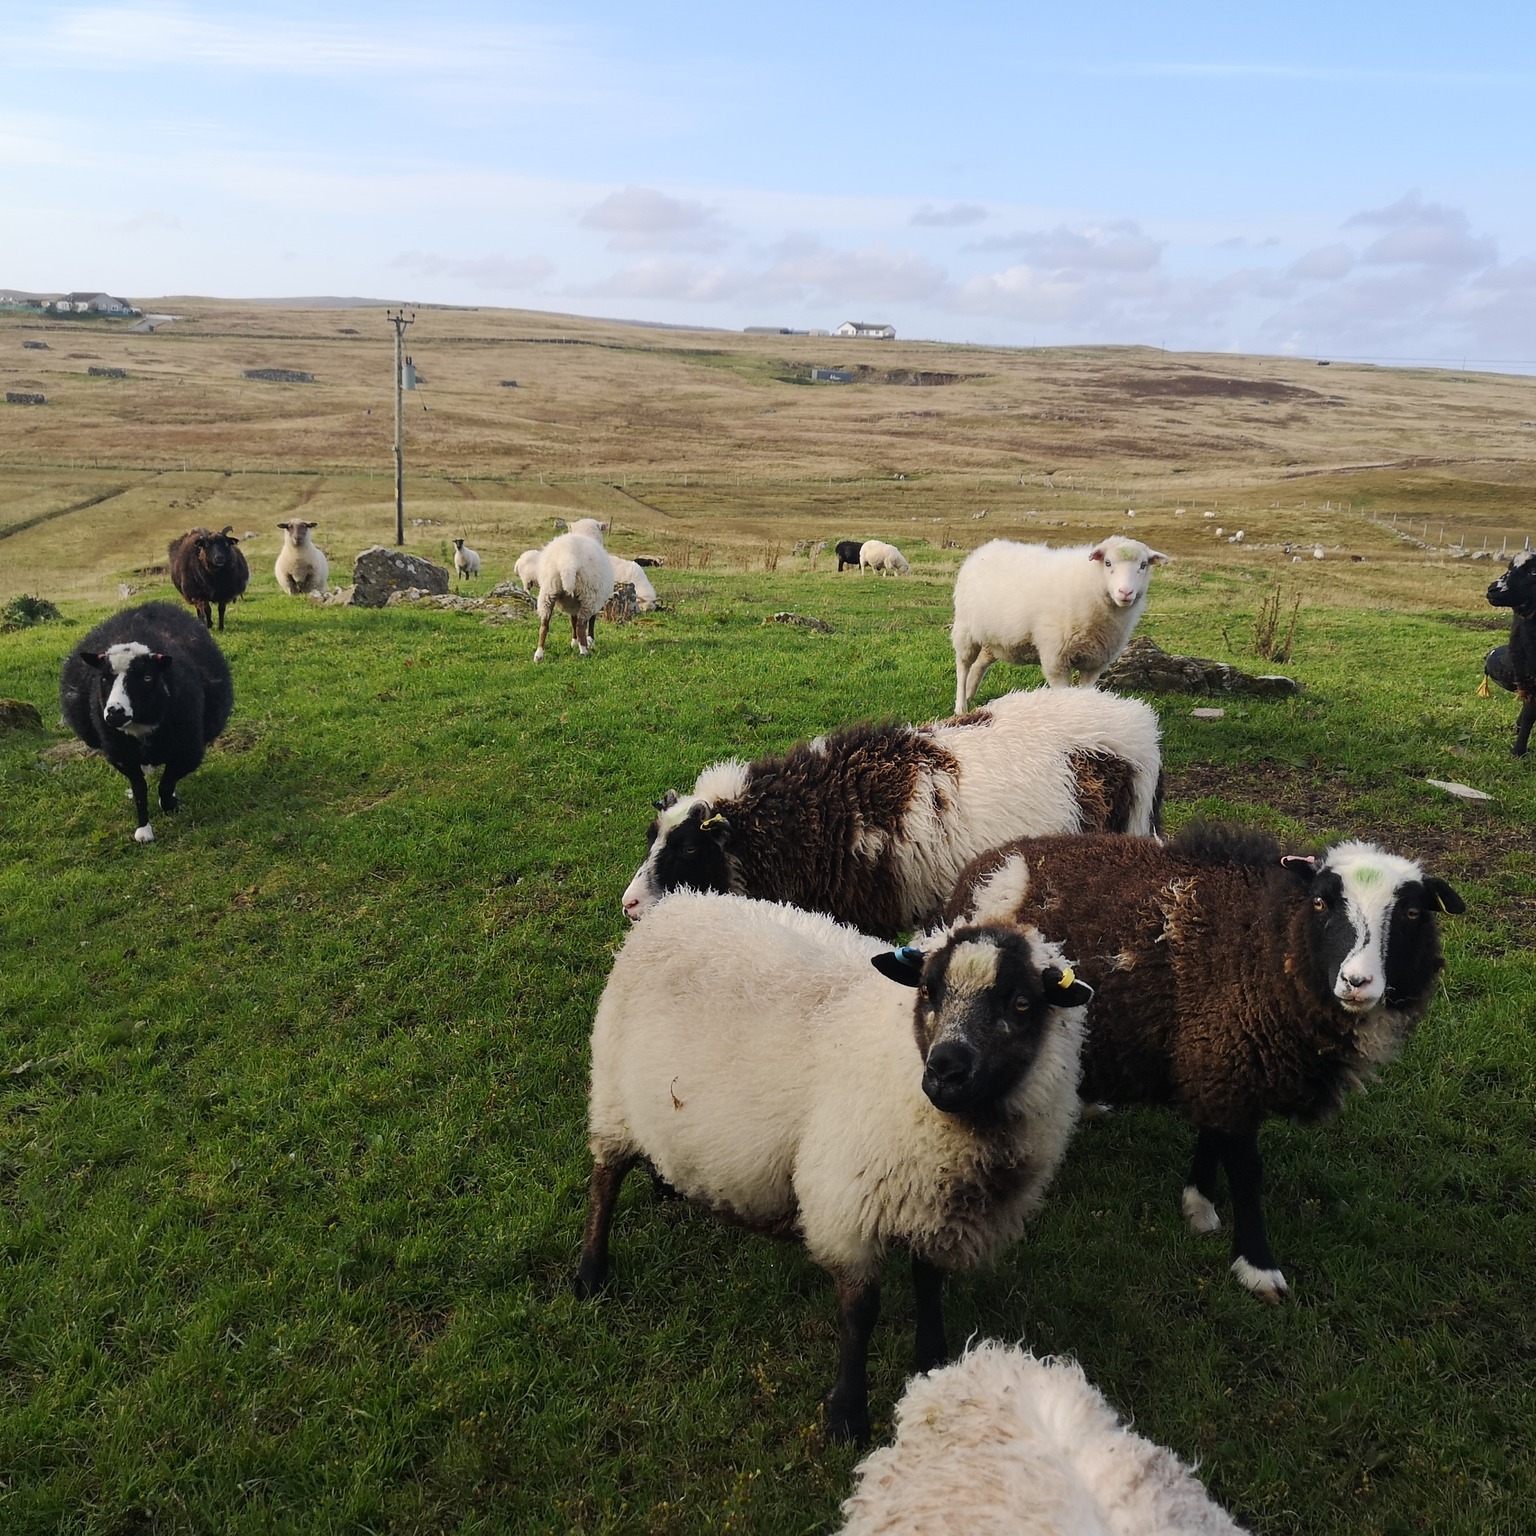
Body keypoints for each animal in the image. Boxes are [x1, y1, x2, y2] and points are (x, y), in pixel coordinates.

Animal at [59, 600, 234, 844]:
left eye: (147, 677)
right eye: (104, 678)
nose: (115, 712)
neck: (141, 726)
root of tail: (146, 606)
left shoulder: (188, 753)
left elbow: (167, 783)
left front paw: (170, 804)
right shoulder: (122, 756)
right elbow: (140, 789)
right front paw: (144, 830)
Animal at [533, 530, 614, 661]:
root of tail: (568, 561)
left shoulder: (572, 604)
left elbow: (572, 621)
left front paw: (574, 642)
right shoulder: (594, 602)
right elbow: (590, 621)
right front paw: (590, 641)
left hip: (548, 592)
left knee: (544, 625)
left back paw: (539, 655)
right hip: (589, 597)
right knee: (581, 626)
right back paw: (584, 652)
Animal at [576, 890, 1092, 1444]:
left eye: (1021, 1003)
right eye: (927, 990)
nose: (944, 1069)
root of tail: (677, 903)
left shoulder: (933, 1209)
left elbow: (929, 1284)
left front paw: (931, 1362)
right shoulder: (848, 1204)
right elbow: (859, 1313)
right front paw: (847, 1414)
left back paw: (665, 1183)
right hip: (612, 1094)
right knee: (605, 1179)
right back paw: (589, 1274)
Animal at [944, 823, 1466, 1300]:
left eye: (1412, 911)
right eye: (1321, 903)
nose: (1357, 982)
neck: (1270, 943)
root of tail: (984, 865)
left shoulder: (1216, 1059)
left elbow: (1211, 1136)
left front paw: (1198, 1203)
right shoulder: (1227, 1061)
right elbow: (1247, 1171)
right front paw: (1257, 1266)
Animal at [951, 537, 1169, 711]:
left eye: (1143, 565)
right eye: (1108, 563)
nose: (1126, 592)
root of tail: (985, 548)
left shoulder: (1095, 663)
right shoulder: (1055, 658)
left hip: (993, 638)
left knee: (979, 664)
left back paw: (970, 693)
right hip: (965, 629)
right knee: (963, 666)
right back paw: (961, 706)